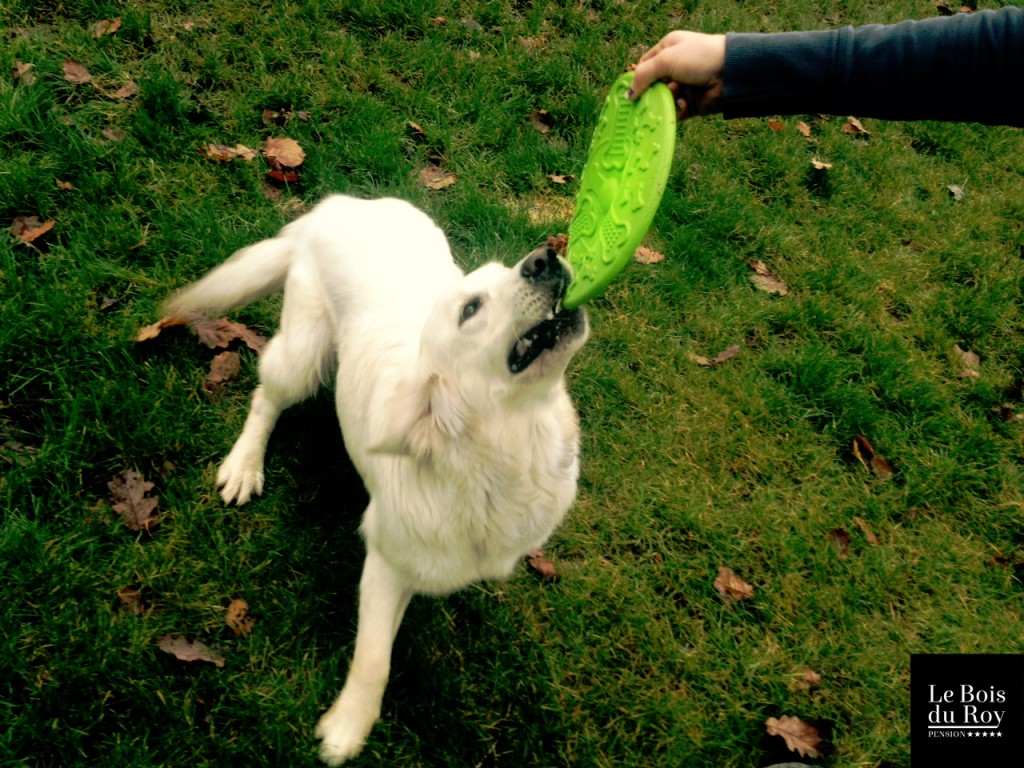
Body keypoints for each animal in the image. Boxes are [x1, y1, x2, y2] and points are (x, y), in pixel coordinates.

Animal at [163, 195, 589, 765]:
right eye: (470, 310)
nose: (545, 257)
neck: (496, 457)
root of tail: (339, 204)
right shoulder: (386, 561)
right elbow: (374, 658)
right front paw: (347, 727)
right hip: (302, 355)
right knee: (265, 398)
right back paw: (244, 465)